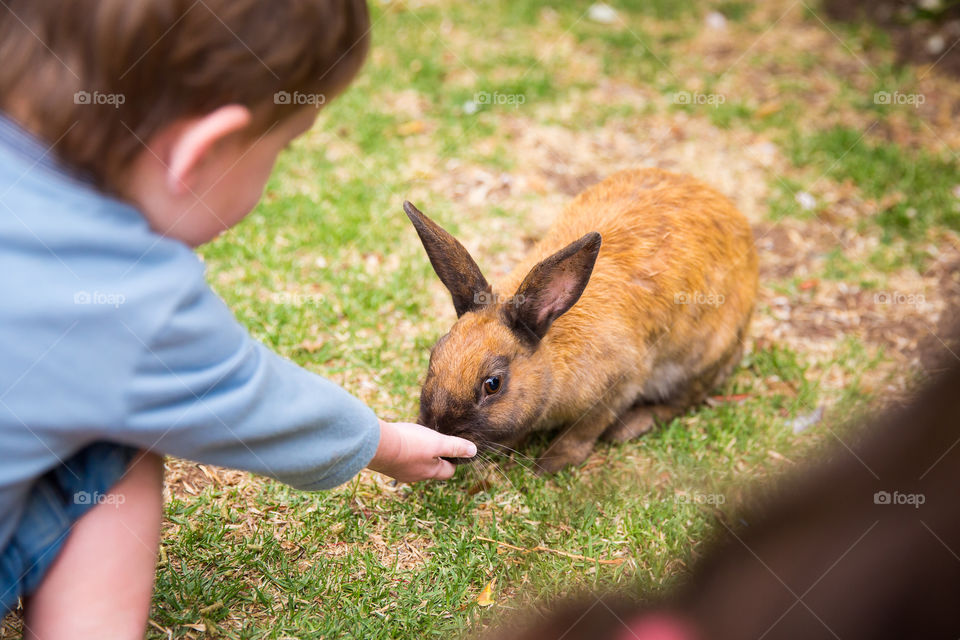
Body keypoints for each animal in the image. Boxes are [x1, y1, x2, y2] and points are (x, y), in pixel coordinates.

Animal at [404, 168, 756, 472]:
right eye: (435, 356)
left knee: (684, 399)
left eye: (493, 384)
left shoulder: (618, 386)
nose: (439, 430)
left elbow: (583, 432)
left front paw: (548, 465)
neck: (553, 355)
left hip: (700, 359)